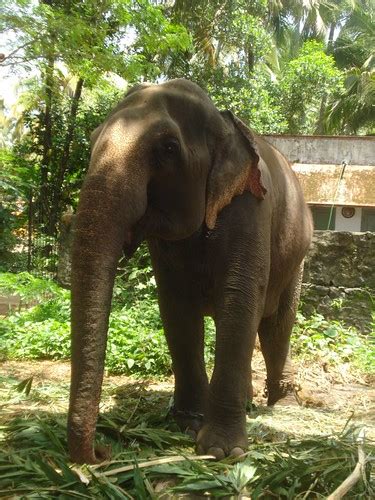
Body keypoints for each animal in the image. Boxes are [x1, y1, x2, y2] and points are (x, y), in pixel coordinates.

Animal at [67, 78, 314, 464]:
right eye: (92, 140)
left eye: (168, 148)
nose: (102, 451)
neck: (223, 123)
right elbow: (176, 306)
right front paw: (187, 424)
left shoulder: (250, 206)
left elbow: (239, 297)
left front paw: (222, 450)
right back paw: (249, 401)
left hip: (297, 258)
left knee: (277, 323)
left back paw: (283, 404)